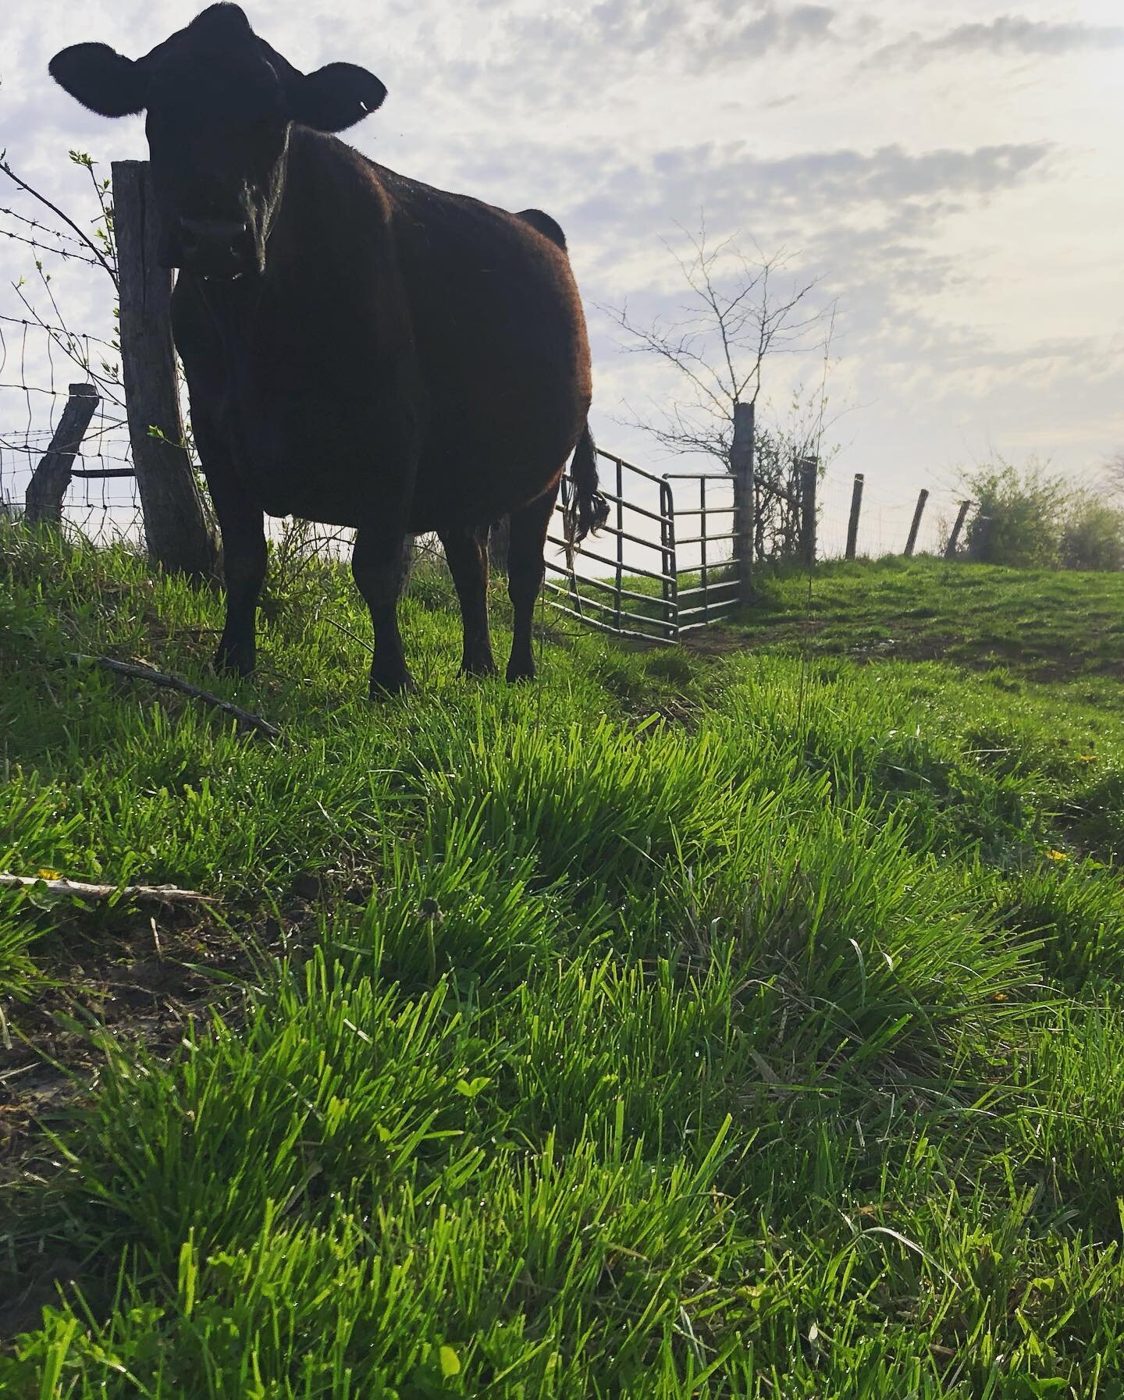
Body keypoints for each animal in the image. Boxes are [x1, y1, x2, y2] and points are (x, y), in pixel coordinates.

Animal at [49, 3, 607, 696]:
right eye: (160, 107)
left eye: (276, 116)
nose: (214, 236)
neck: (259, 333)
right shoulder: (216, 429)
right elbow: (243, 556)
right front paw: (233, 660)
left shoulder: (394, 433)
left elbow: (377, 569)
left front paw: (391, 681)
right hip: (464, 474)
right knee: (471, 562)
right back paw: (474, 667)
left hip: (542, 475)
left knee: (524, 574)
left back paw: (518, 671)